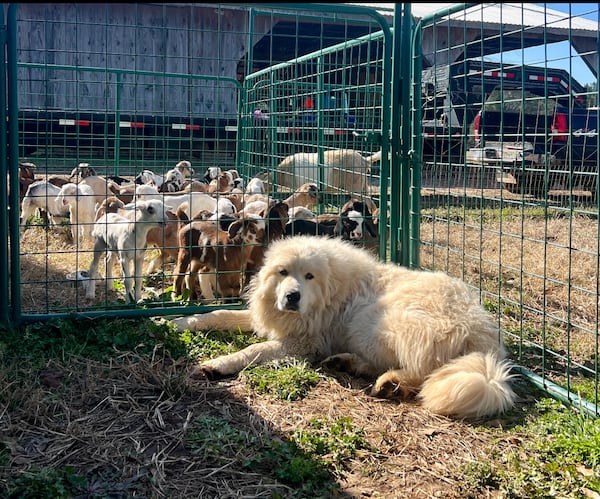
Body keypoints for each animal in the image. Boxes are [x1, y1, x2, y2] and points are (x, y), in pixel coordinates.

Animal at [172, 236, 516, 420]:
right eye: (283, 272)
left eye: (309, 276)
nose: (292, 296)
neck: (328, 292)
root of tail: (483, 337)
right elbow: (219, 313)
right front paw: (182, 321)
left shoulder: (304, 342)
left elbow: (253, 350)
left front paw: (216, 365)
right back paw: (350, 364)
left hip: (376, 322)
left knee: (424, 372)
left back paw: (391, 383)